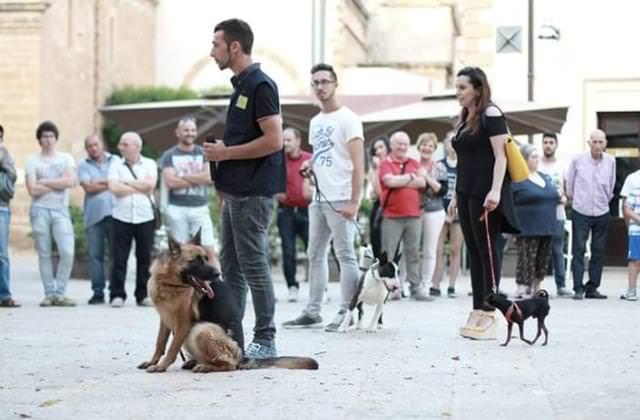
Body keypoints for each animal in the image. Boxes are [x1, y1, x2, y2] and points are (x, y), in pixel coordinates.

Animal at [140, 233, 320, 374]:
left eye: (206, 259)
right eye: (196, 261)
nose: (217, 273)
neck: (168, 283)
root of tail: (242, 356)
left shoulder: (183, 325)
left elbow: (171, 349)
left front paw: (161, 366)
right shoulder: (165, 320)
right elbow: (160, 343)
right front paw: (153, 361)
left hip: (201, 330)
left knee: (230, 365)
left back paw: (206, 366)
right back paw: (195, 362)